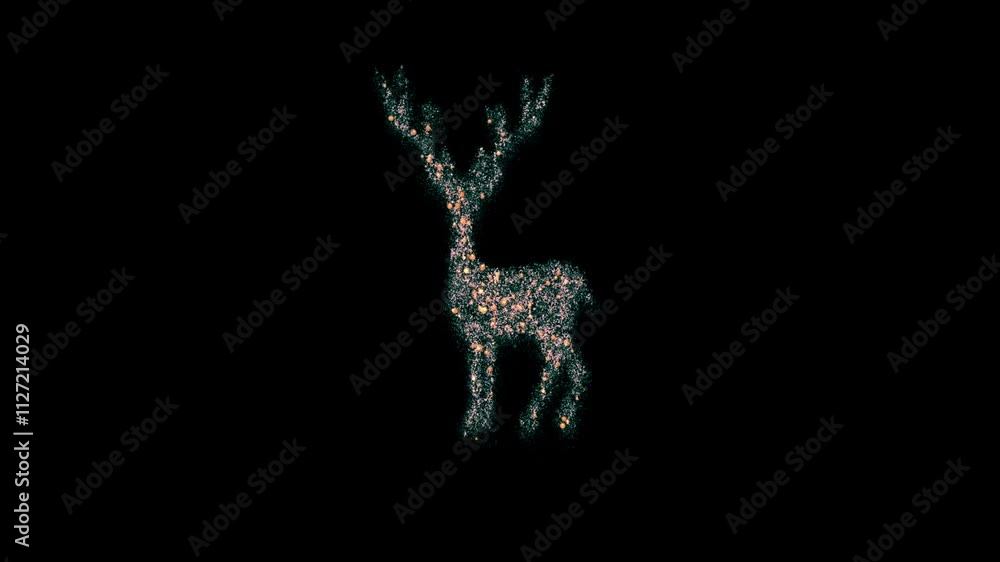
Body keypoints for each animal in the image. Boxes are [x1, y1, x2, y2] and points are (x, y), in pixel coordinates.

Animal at [376, 68, 595, 441]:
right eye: (450, 199)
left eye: (471, 201)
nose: (460, 211)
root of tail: (579, 285)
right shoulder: (479, 335)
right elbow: (481, 375)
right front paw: (477, 424)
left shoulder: (481, 329)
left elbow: (482, 378)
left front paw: (474, 426)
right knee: (565, 362)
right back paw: (550, 420)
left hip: (550, 324)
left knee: (568, 363)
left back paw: (542, 421)